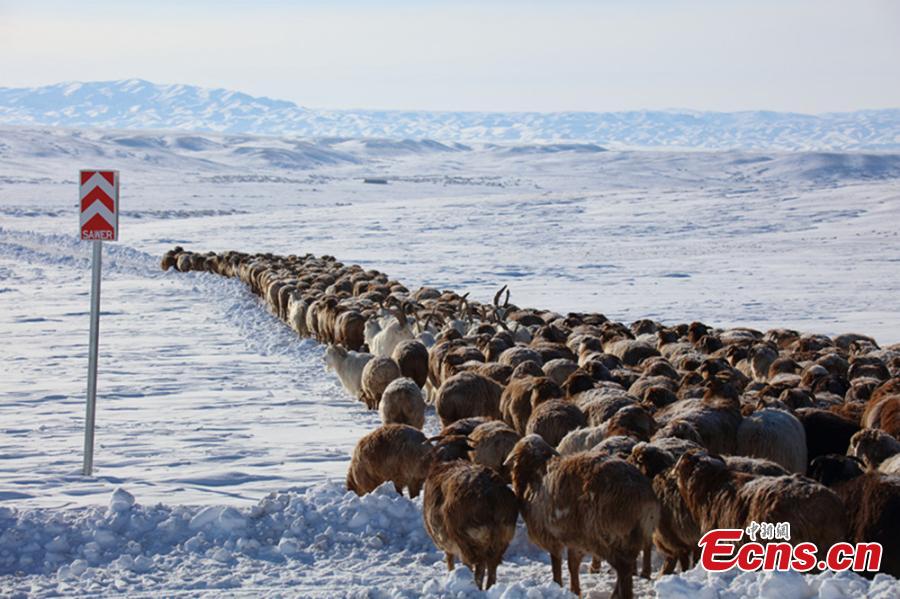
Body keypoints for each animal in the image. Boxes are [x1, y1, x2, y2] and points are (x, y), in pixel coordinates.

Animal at [506, 436, 660, 599]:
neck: (532, 474)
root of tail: (644, 499)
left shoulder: (551, 536)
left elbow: (556, 566)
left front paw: (557, 586)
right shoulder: (576, 539)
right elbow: (572, 565)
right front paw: (575, 591)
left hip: (606, 536)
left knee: (624, 568)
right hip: (632, 536)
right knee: (627, 566)